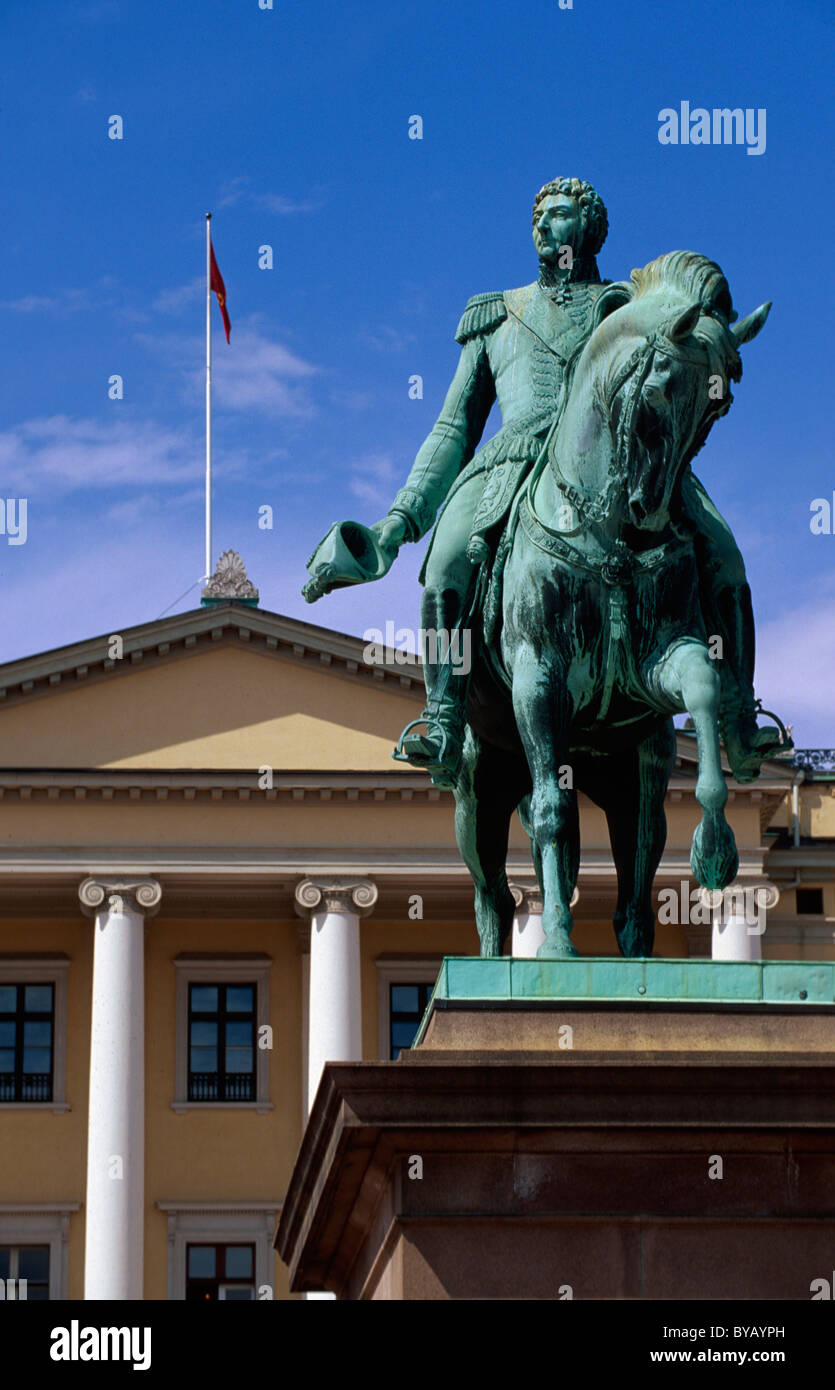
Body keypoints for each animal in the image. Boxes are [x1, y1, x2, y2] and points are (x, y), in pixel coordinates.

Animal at [452, 250, 772, 961]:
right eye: (658, 389)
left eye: (719, 409)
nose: (651, 514)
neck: (607, 534)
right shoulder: (538, 678)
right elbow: (551, 814)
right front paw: (557, 945)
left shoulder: (655, 667)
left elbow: (704, 686)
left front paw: (716, 851)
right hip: (479, 782)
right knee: (492, 887)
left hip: (636, 770)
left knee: (639, 854)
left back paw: (635, 948)